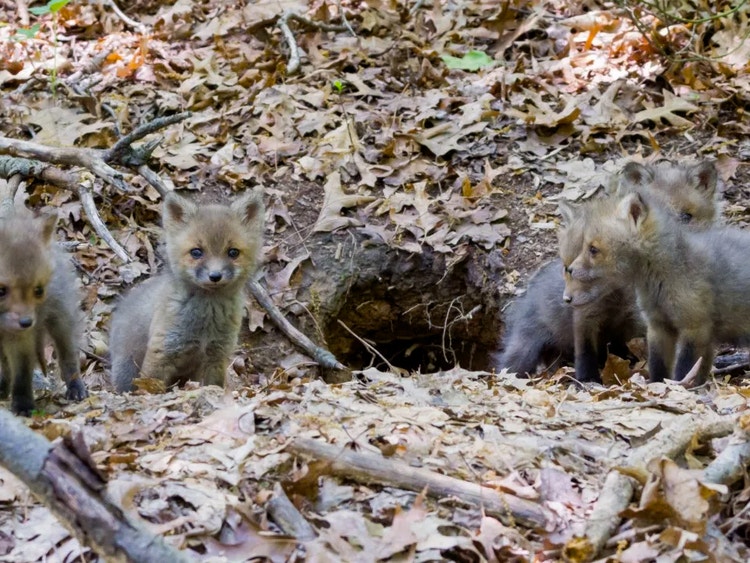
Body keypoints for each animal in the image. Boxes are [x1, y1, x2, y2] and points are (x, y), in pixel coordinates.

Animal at [0, 211, 86, 416]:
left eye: (38, 290)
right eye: (1, 291)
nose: (26, 322)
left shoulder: (20, 341)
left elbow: (22, 376)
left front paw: (23, 405)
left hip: (61, 321)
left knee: (68, 357)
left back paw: (76, 387)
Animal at [109, 190, 264, 392]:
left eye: (233, 252)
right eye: (196, 252)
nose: (215, 276)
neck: (206, 321)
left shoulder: (216, 356)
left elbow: (213, 386)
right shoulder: (163, 350)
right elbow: (151, 386)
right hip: (126, 370)